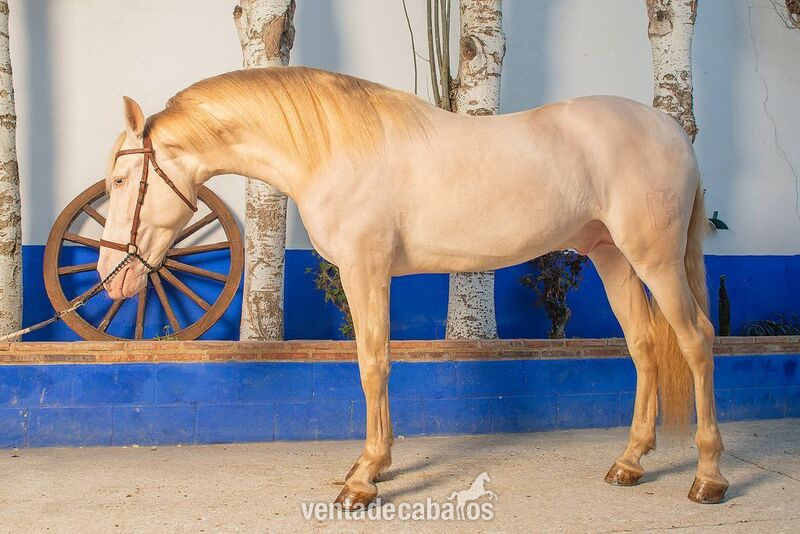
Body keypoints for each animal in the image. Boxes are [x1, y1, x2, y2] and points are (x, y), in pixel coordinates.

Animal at [97, 66, 728, 508]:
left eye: (124, 180)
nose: (110, 278)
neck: (331, 148)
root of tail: (672, 131)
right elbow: (375, 361)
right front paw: (373, 466)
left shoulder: (365, 269)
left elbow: (373, 364)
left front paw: (364, 478)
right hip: (612, 256)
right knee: (644, 346)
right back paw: (630, 463)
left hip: (655, 259)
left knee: (696, 340)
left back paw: (708, 477)